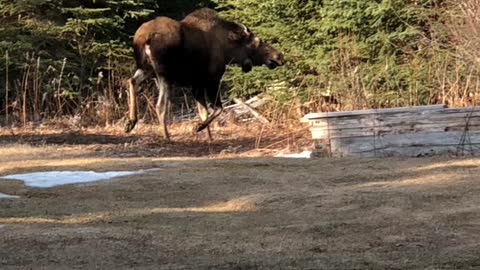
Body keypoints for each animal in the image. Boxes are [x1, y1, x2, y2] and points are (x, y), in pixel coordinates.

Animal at [125, 7, 284, 141]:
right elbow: (217, 108)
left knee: (131, 81)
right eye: (258, 43)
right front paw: (198, 127)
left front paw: (209, 137)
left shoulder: (197, 84)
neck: (228, 51)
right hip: (164, 74)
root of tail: (144, 38)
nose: (279, 56)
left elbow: (203, 112)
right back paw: (167, 137)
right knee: (160, 105)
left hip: (146, 68)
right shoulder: (212, 79)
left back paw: (130, 122)